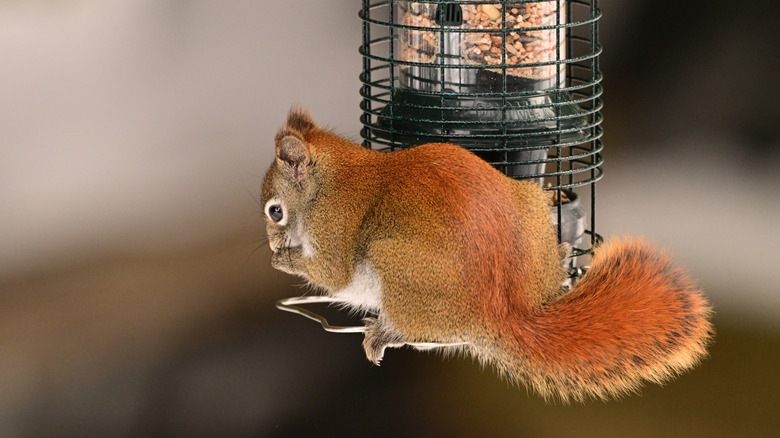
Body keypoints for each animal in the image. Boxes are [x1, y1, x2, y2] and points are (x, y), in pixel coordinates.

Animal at [262, 109, 713, 402]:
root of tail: (502, 308)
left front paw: (283, 259)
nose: (270, 244)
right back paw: (563, 252)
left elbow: (333, 275)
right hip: (529, 207)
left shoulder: (334, 227)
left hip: (396, 264)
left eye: (275, 211)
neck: (331, 178)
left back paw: (384, 333)